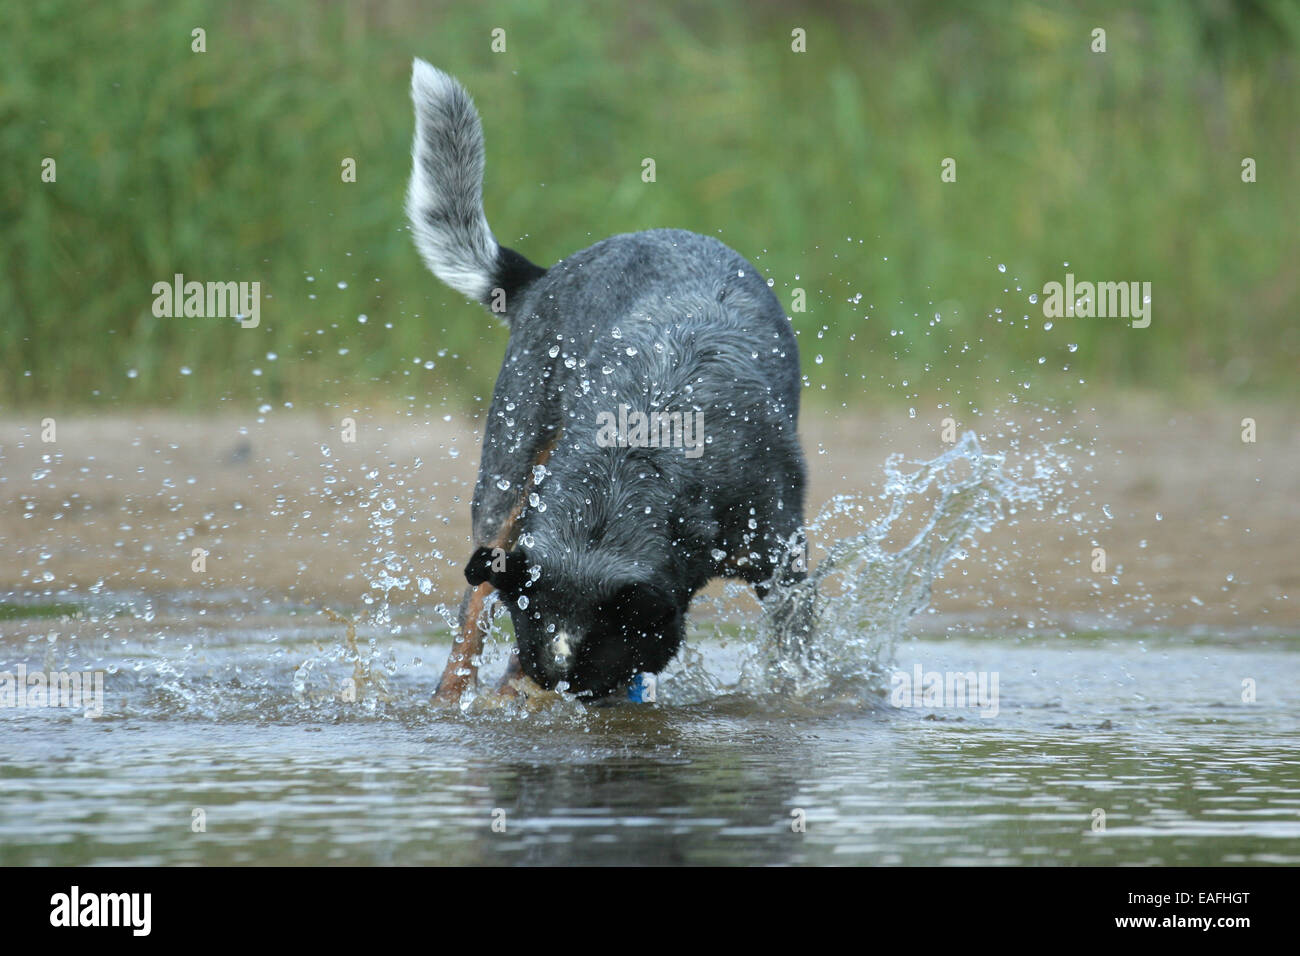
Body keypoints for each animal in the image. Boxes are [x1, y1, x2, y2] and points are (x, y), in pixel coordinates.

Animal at [405, 61, 806, 702]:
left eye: (596, 684)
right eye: (557, 676)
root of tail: (545, 276)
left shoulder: (781, 557)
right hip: (504, 483)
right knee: (472, 611)